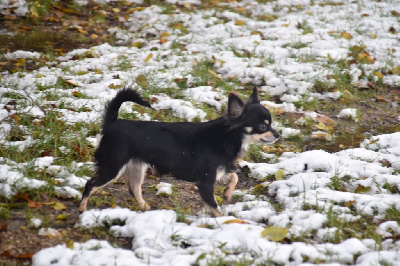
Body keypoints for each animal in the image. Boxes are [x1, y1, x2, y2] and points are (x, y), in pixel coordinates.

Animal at [77, 87, 278, 216]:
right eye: (263, 126)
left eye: (271, 123)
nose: (277, 134)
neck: (227, 136)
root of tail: (112, 123)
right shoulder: (205, 182)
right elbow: (215, 206)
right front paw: (222, 222)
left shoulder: (217, 173)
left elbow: (233, 177)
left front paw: (228, 193)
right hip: (112, 167)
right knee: (89, 184)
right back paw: (82, 209)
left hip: (137, 167)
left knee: (134, 188)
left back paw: (144, 207)